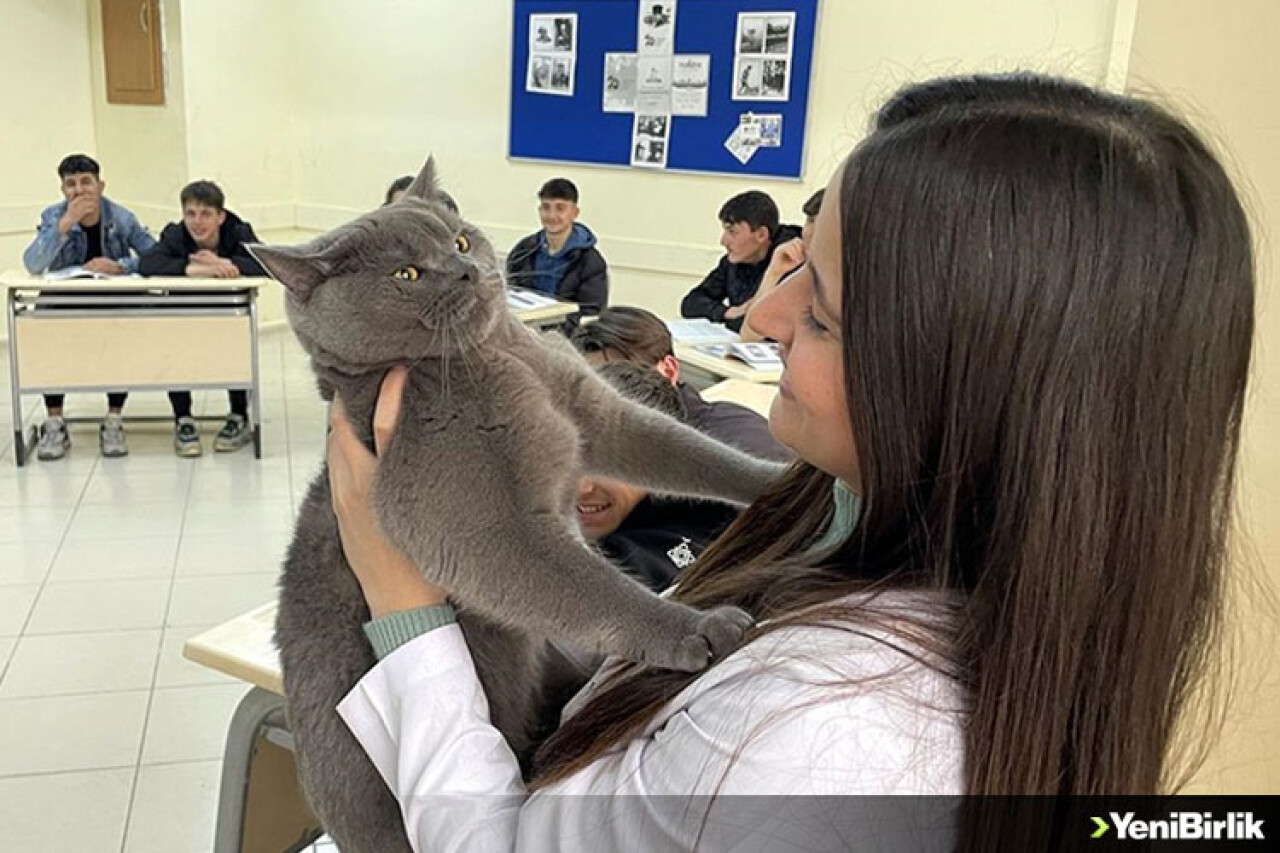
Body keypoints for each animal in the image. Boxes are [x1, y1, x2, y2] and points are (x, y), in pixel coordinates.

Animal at [253, 161, 783, 850]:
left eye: (457, 240)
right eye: (406, 275)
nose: (466, 270)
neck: (503, 356)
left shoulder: (593, 411)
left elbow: (690, 452)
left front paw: (786, 473)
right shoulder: (478, 519)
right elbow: (587, 585)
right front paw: (697, 628)